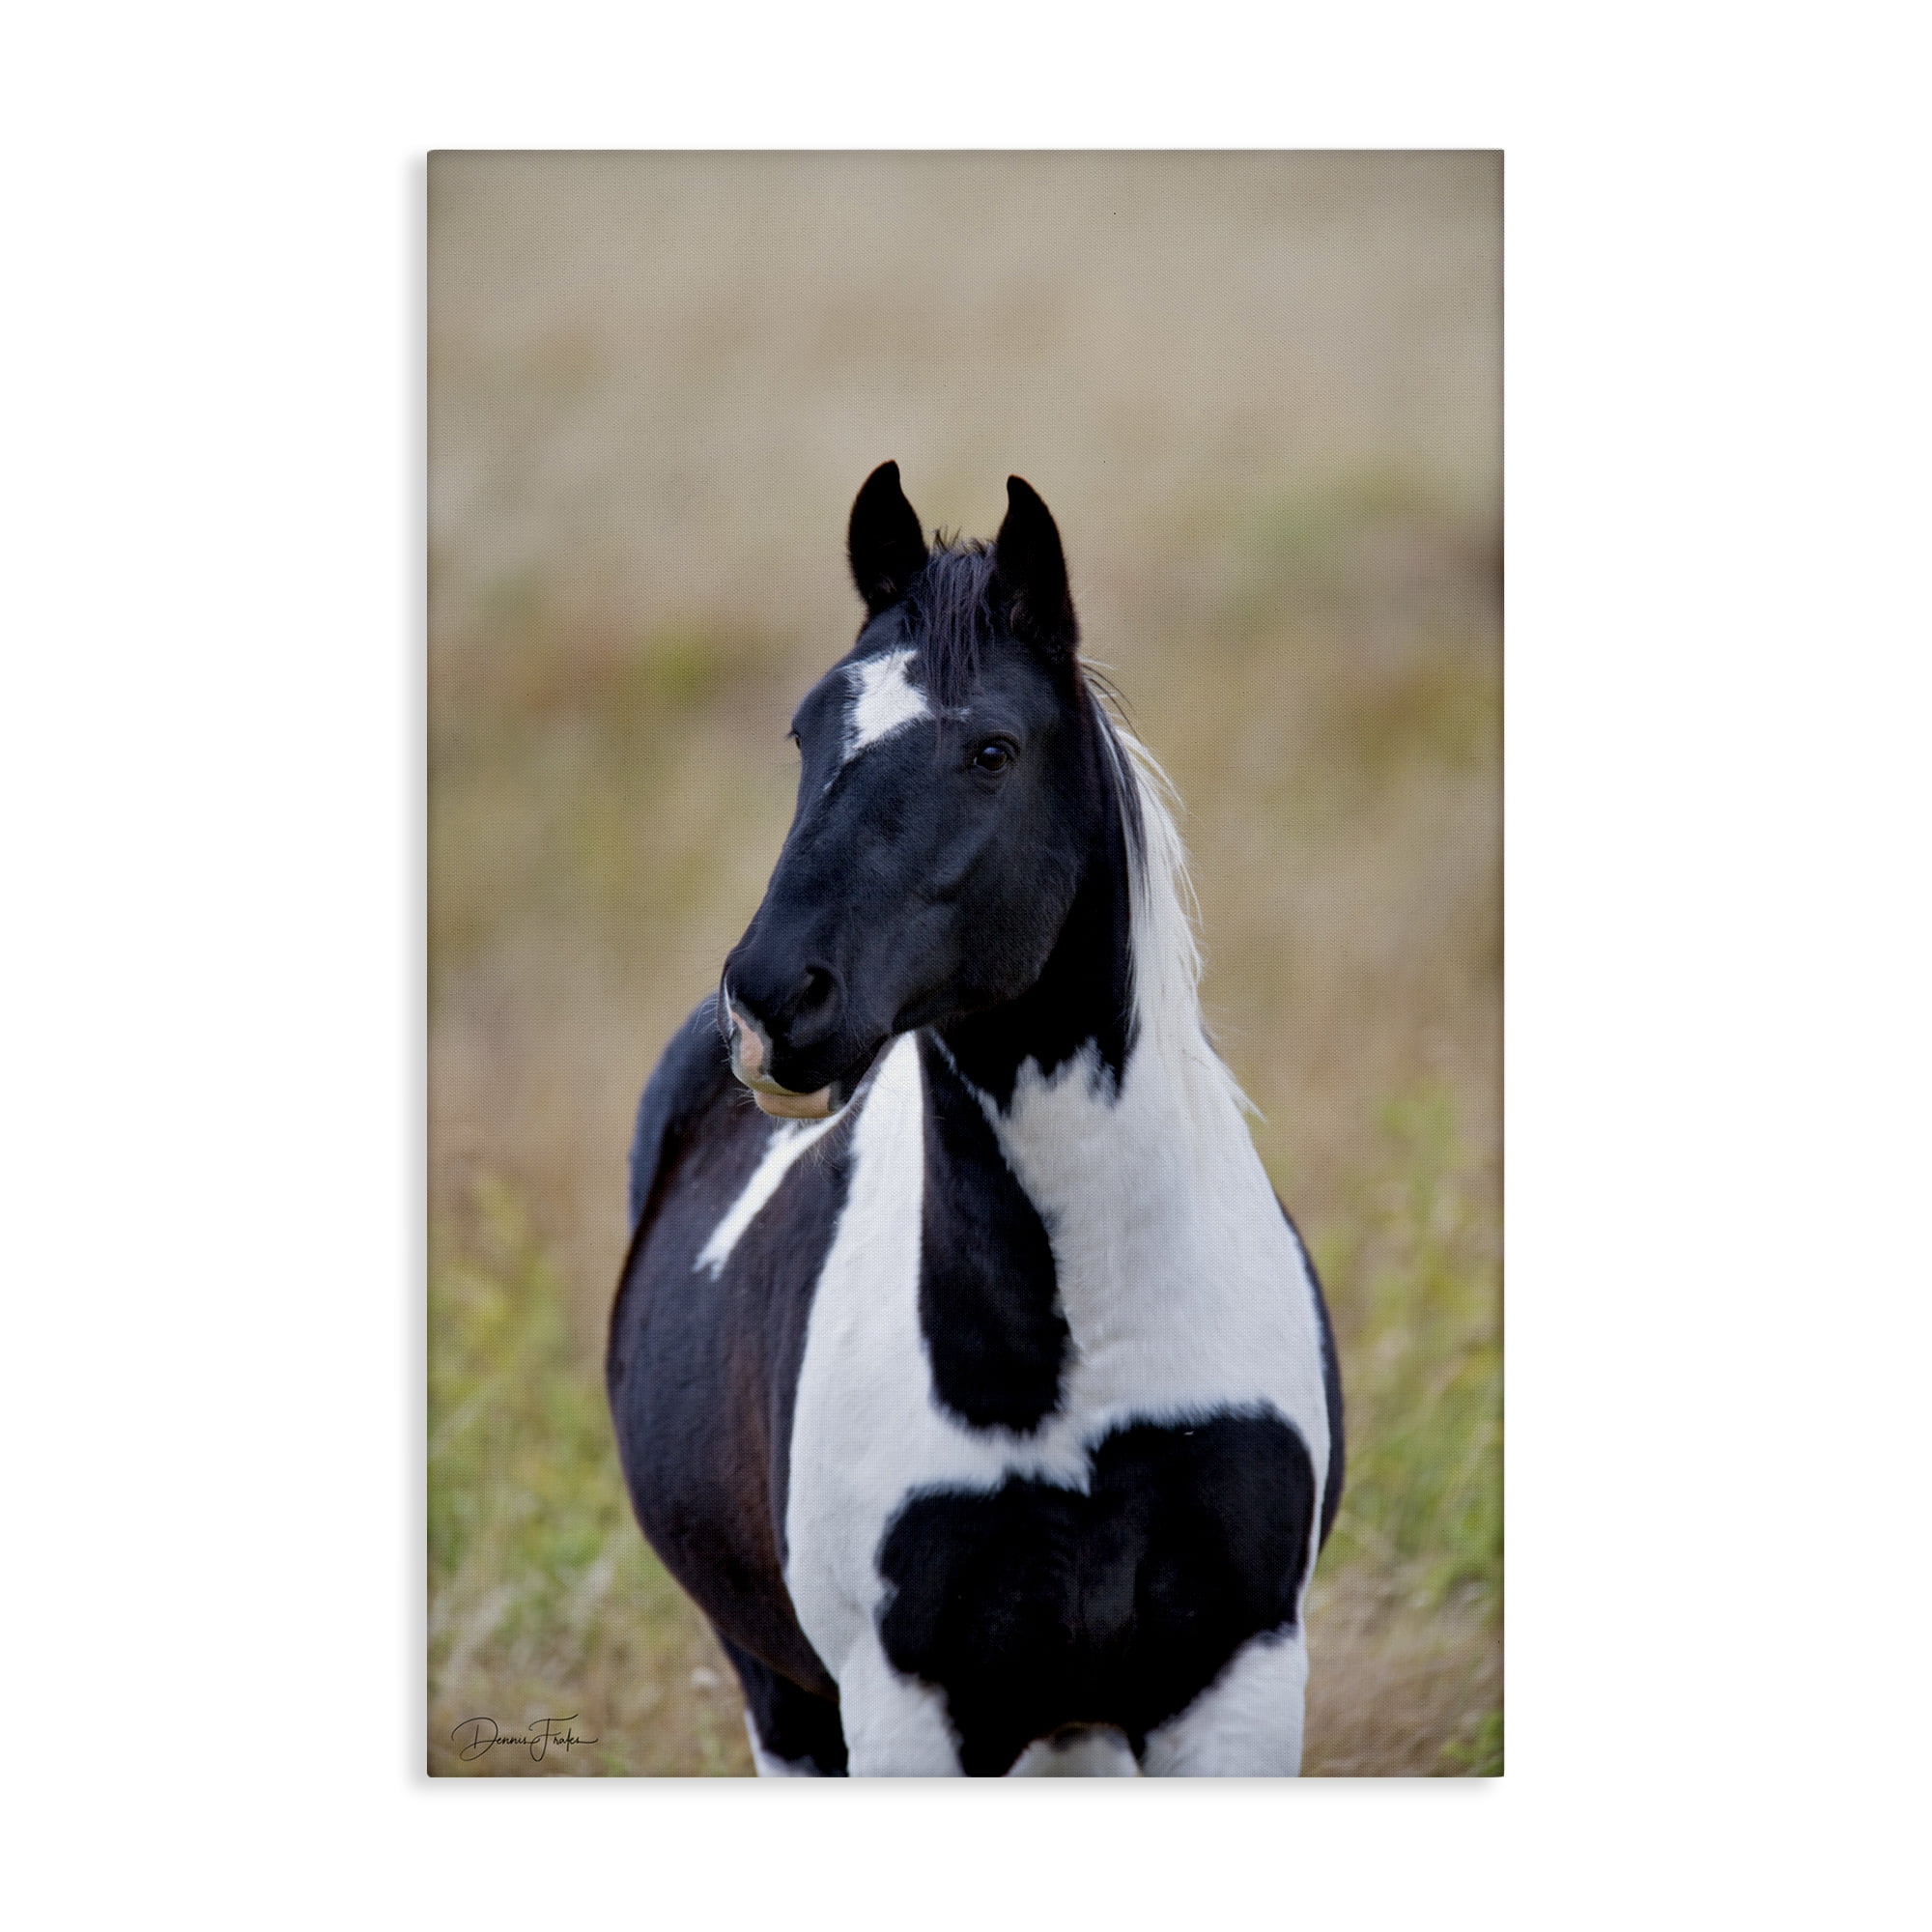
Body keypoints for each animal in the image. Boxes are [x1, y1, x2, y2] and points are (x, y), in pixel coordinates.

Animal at [607, 463, 1344, 1776]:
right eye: (806, 732)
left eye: (992, 749)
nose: (769, 1001)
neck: (1080, 1359)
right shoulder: (910, 1707)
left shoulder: (1237, 1680)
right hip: (787, 1697)